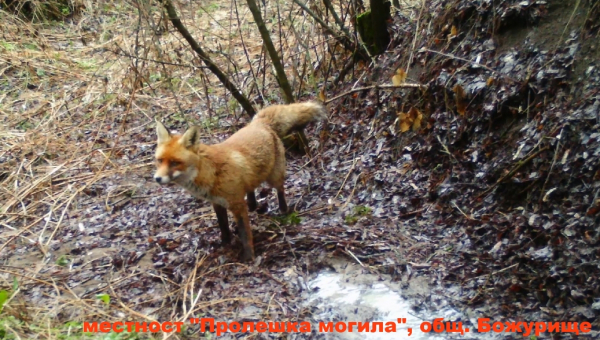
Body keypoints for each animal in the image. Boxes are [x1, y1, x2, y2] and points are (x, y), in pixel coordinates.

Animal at [152, 101, 326, 260]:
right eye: (159, 161)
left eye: (175, 163)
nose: (157, 178)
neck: (211, 174)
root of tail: (260, 123)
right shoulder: (217, 203)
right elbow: (223, 227)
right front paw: (225, 244)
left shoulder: (237, 206)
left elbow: (245, 234)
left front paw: (249, 258)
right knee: (251, 189)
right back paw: (253, 204)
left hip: (274, 177)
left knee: (280, 190)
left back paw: (283, 210)